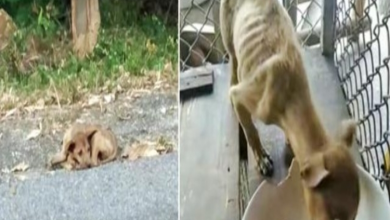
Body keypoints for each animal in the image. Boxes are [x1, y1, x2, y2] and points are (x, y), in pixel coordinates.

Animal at [221, 0, 362, 220]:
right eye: (334, 217)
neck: (293, 97)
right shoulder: (241, 97)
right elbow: (251, 131)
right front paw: (261, 159)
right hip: (228, 34)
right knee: (233, 60)